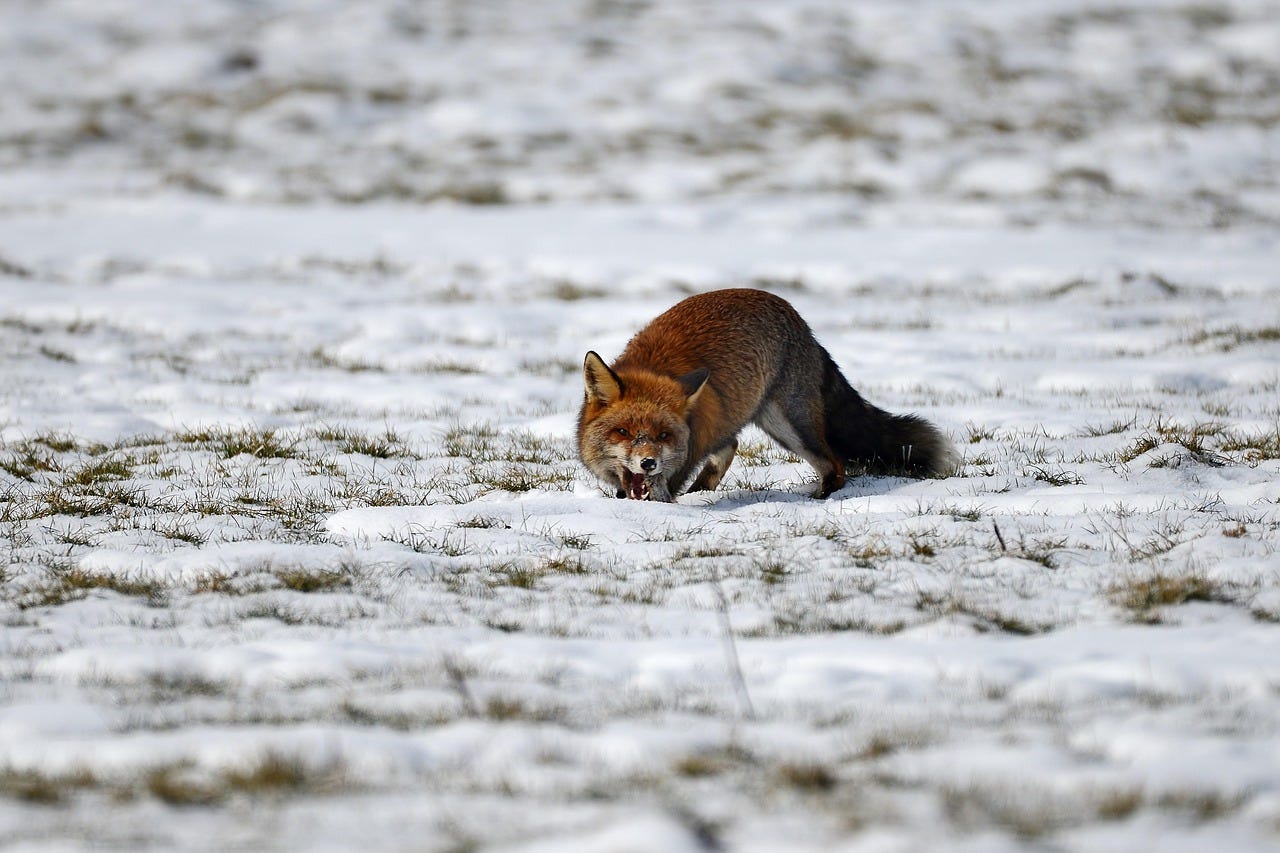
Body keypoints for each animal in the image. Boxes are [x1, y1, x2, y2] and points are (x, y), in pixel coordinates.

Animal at [577, 288, 955, 501]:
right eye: (622, 432)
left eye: (663, 436)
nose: (648, 463)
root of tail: (800, 321)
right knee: (731, 444)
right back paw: (703, 491)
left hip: (790, 425)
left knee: (835, 465)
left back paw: (820, 499)